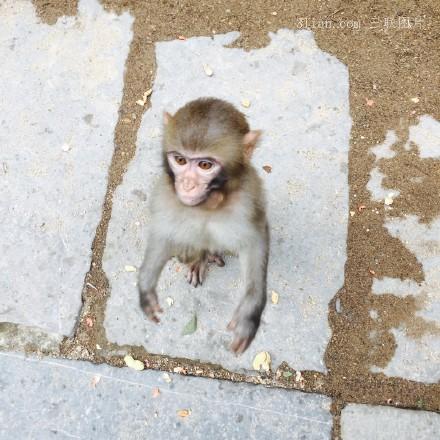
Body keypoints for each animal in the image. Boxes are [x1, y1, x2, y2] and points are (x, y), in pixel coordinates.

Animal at [138, 97, 268, 354]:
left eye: (205, 165)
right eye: (180, 160)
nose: (187, 184)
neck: (208, 204)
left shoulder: (248, 199)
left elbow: (254, 241)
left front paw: (249, 313)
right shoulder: (165, 194)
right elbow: (163, 233)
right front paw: (146, 284)